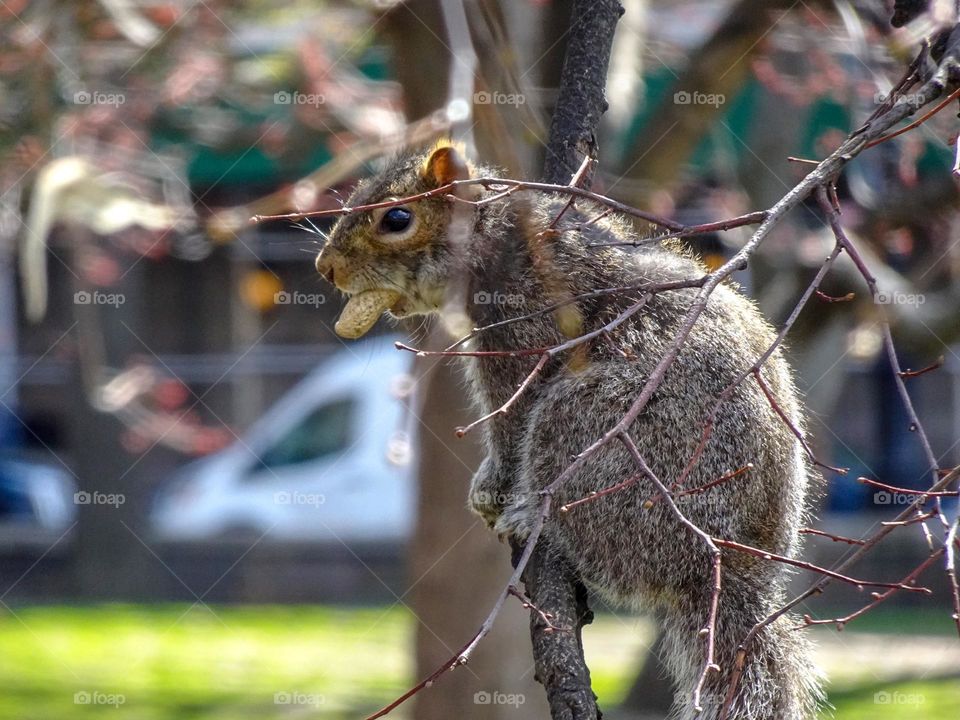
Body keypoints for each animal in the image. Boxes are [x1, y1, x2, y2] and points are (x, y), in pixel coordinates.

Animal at [316, 141, 824, 720]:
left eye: (397, 219)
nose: (326, 269)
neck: (501, 241)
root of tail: (723, 566)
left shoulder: (527, 340)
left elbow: (509, 424)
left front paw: (493, 487)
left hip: (591, 432)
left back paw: (532, 516)